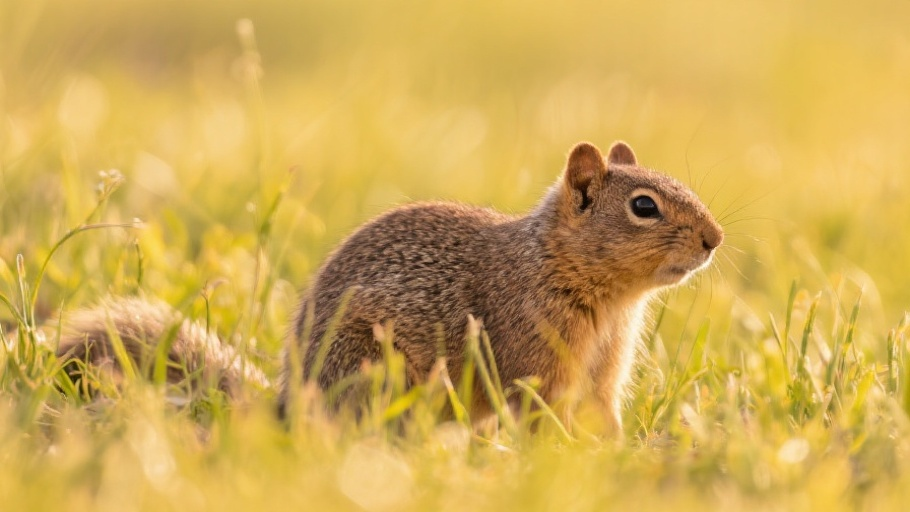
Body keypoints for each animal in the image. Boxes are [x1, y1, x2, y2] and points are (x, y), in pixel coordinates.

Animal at [56, 141, 723, 433]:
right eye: (643, 206)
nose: (714, 239)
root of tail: (289, 401)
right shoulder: (533, 362)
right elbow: (542, 414)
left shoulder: (603, 373)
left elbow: (602, 416)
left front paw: (620, 457)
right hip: (376, 371)